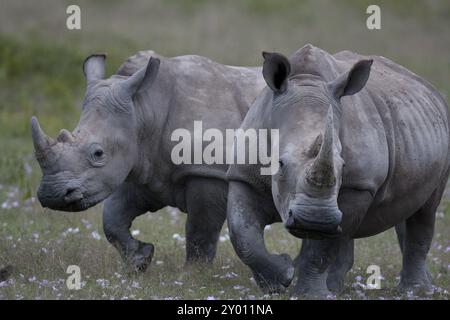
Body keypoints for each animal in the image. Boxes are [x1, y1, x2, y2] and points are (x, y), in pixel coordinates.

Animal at [33, 51, 266, 272]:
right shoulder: (147, 166)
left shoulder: (207, 171)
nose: (52, 195)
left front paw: (192, 275)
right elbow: (112, 218)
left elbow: (200, 229)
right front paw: (140, 260)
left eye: (98, 154)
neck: (145, 108)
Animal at [229, 43, 450, 296]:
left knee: (425, 211)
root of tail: (429, 88)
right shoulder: (245, 176)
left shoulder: (358, 185)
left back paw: (414, 290)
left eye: (343, 166)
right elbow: (242, 234)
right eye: (280, 164)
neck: (307, 81)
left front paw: (309, 295)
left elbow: (323, 249)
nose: (315, 220)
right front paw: (278, 279)